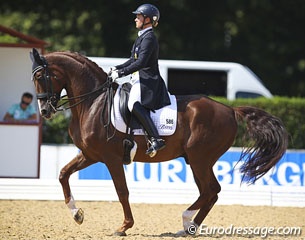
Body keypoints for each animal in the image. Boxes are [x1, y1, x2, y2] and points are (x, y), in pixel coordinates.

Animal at [30, 48, 288, 236]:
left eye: (42, 76)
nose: (45, 111)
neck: (93, 102)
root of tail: (229, 109)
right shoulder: (90, 155)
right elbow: (63, 174)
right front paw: (77, 215)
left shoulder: (111, 158)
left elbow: (122, 191)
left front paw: (124, 226)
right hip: (196, 161)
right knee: (210, 192)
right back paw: (188, 227)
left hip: (200, 159)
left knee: (211, 190)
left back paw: (186, 222)